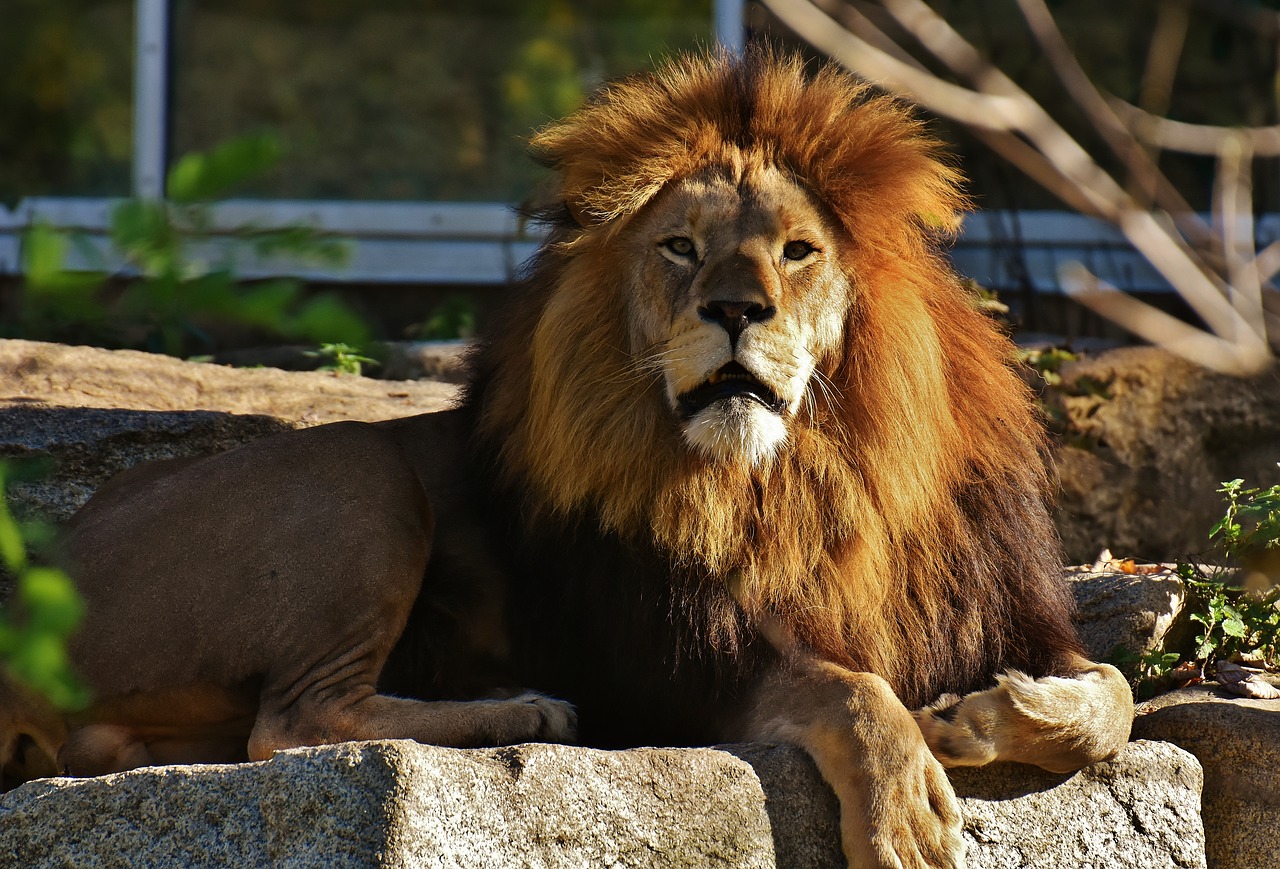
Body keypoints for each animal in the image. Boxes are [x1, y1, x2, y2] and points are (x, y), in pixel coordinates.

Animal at [5, 49, 1136, 869]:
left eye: (796, 250)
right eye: (679, 247)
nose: (735, 310)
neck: (808, 477)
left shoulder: (1007, 608)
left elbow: (1113, 694)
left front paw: (992, 711)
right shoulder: (674, 662)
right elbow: (849, 686)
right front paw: (906, 808)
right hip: (357, 474)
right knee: (290, 723)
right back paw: (526, 708)